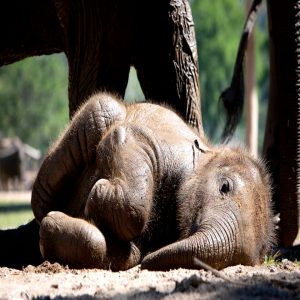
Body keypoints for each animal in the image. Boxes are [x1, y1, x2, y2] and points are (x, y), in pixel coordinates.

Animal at [31, 92, 274, 270]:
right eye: (225, 187)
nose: (148, 263)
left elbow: (126, 252)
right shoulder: (163, 148)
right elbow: (124, 136)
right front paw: (95, 196)